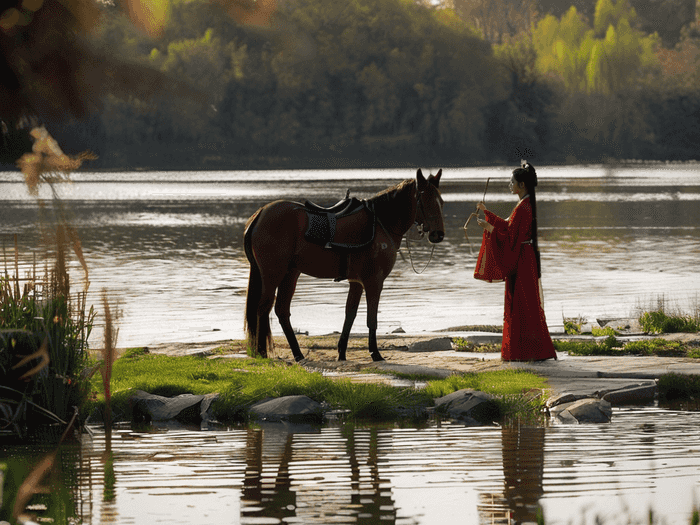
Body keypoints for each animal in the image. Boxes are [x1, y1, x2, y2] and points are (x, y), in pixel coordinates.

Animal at [243, 168, 446, 360]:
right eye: (425, 200)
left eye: (441, 202)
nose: (438, 234)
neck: (381, 223)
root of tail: (260, 213)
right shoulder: (374, 281)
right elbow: (371, 318)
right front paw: (375, 353)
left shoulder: (356, 282)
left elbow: (350, 314)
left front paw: (341, 352)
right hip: (273, 273)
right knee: (263, 308)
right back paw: (262, 351)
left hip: (290, 273)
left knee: (282, 311)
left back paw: (297, 354)